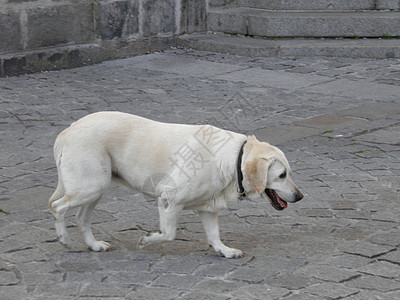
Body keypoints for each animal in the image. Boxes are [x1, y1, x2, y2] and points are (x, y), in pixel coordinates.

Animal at [48, 112, 302, 258]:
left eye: (288, 173)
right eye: (282, 175)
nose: (300, 196)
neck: (233, 161)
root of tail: (67, 130)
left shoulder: (208, 207)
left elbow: (214, 235)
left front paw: (224, 250)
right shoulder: (169, 199)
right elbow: (168, 234)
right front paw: (147, 239)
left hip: (95, 189)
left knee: (81, 217)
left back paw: (94, 245)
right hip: (90, 186)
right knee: (57, 206)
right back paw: (64, 238)